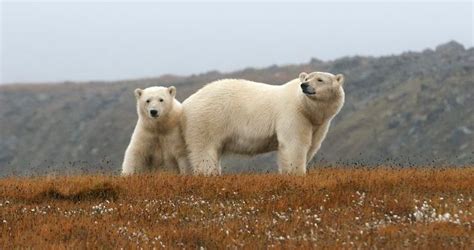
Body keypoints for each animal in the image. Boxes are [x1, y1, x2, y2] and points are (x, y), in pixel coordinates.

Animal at [181, 71, 344, 175]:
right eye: (307, 78)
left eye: (320, 79)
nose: (304, 85)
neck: (306, 107)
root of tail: (187, 102)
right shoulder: (293, 114)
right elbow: (294, 144)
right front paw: (296, 174)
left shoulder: (318, 123)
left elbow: (312, 145)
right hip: (209, 119)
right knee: (204, 150)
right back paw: (209, 174)